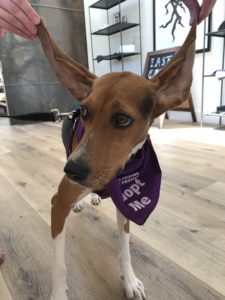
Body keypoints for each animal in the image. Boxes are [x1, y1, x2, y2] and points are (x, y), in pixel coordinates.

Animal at [35, 1, 214, 298]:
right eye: (86, 112)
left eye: (122, 119)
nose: (72, 170)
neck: (119, 173)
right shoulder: (57, 205)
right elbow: (59, 265)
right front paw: (59, 294)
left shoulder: (127, 205)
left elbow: (125, 251)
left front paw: (129, 281)